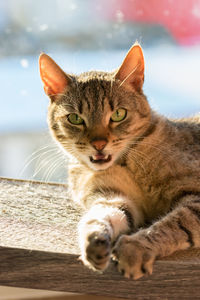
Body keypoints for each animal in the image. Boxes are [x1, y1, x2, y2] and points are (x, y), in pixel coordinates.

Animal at [38, 43, 200, 280]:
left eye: (118, 114)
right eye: (75, 118)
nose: (99, 143)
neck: (127, 162)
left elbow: (173, 224)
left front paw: (136, 247)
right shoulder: (112, 196)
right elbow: (102, 216)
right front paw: (94, 239)